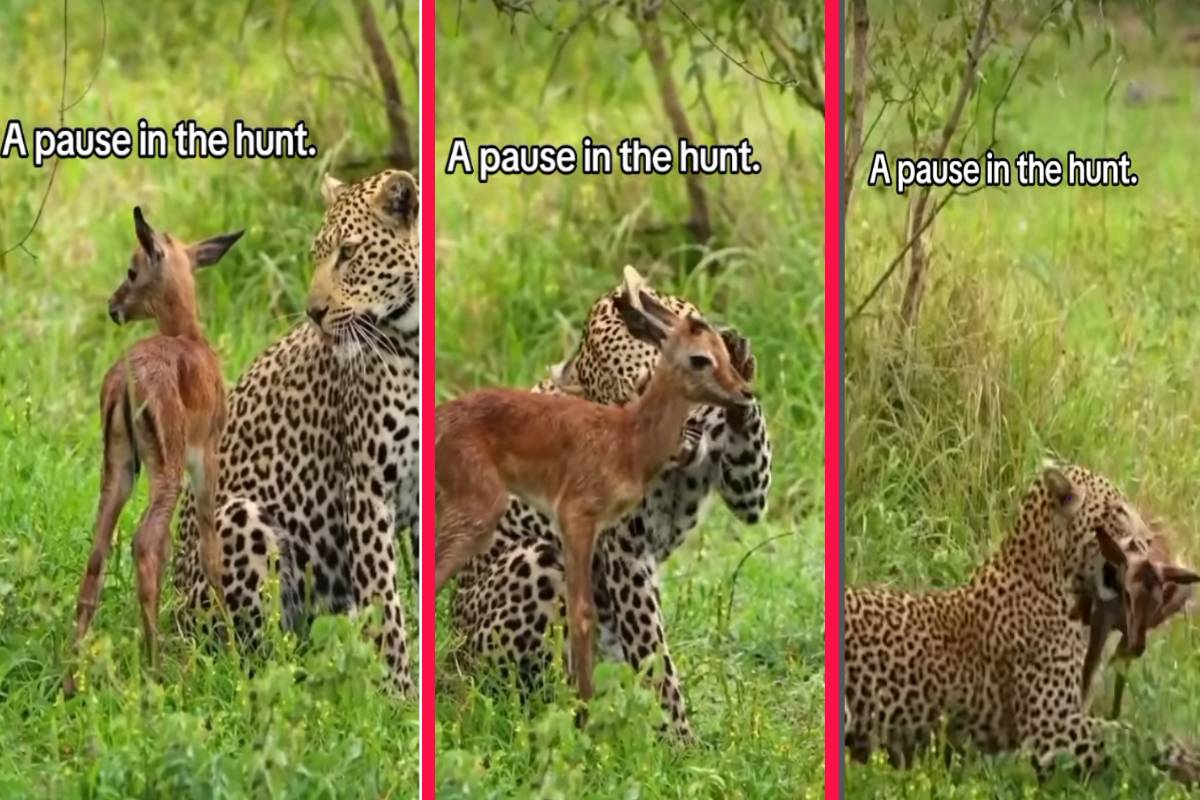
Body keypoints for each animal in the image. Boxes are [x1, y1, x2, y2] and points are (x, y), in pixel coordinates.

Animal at [63, 207, 242, 698]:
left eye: (131, 269)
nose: (114, 306)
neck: (190, 339)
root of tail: (125, 382)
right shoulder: (206, 459)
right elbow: (209, 551)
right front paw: (234, 652)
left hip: (121, 470)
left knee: (98, 552)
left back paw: (71, 680)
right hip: (166, 470)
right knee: (144, 542)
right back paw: (155, 670)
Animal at [173, 169, 420, 694]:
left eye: (349, 253)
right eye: (316, 254)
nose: (314, 312)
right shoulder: (367, 490)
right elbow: (385, 604)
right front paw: (397, 695)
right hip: (239, 520)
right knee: (248, 655)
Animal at [450, 277, 772, 740]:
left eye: (646, 384)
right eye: (616, 403)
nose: (676, 448)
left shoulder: (748, 490)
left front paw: (741, 362)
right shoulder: (625, 553)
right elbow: (655, 657)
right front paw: (680, 742)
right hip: (537, 566)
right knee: (528, 690)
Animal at [1075, 524, 1199, 718]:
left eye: (1158, 601)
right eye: (1127, 594)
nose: (1138, 647)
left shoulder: (1132, 629)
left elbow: (1118, 667)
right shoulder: (1102, 617)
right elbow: (1091, 663)